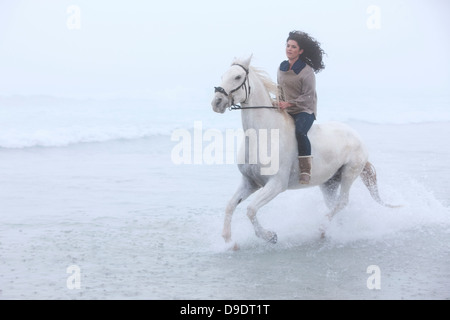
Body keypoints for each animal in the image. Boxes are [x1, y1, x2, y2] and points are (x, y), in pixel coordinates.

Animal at [211, 55, 398, 245]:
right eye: (222, 76)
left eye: (238, 77)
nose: (217, 102)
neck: (264, 134)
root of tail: (357, 136)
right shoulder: (250, 182)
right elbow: (230, 205)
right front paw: (228, 241)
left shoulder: (276, 185)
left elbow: (251, 209)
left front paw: (270, 236)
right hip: (329, 183)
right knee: (335, 204)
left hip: (349, 173)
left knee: (343, 201)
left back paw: (322, 228)